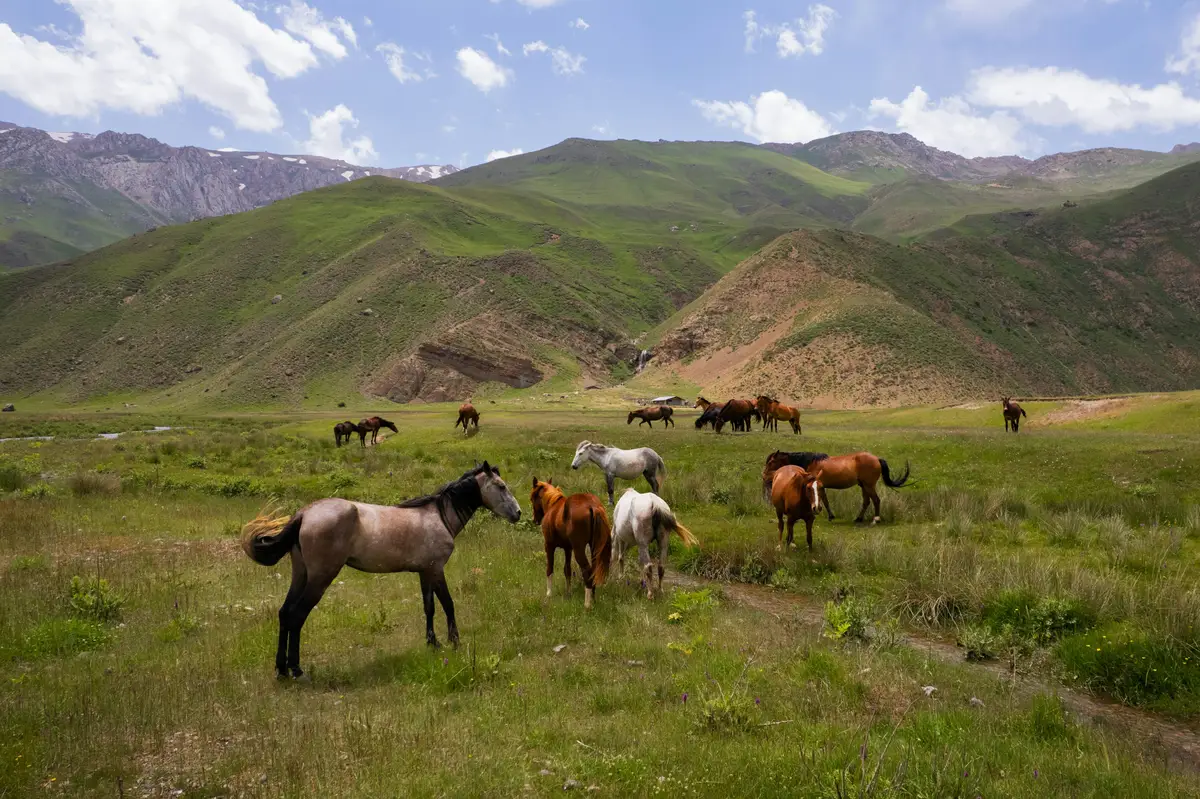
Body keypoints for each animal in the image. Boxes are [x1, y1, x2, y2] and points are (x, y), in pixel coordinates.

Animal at [240, 462, 521, 678]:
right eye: (501, 486)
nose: (518, 513)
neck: (439, 516)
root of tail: (304, 514)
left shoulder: (424, 572)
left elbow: (429, 607)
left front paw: (433, 642)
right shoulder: (436, 570)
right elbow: (448, 604)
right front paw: (454, 641)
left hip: (301, 574)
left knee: (285, 613)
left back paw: (281, 669)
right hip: (320, 578)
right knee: (297, 615)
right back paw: (296, 669)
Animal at [530, 478, 612, 609]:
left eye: (532, 498)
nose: (535, 520)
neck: (554, 507)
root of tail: (592, 506)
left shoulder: (549, 546)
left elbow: (549, 569)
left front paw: (549, 594)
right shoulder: (568, 548)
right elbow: (567, 570)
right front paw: (568, 593)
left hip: (579, 550)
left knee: (587, 571)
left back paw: (587, 604)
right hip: (594, 549)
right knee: (593, 570)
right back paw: (593, 600)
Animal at [763, 450, 912, 525]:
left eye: (771, 462)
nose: (764, 475)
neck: (812, 462)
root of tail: (877, 459)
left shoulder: (818, 486)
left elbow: (823, 501)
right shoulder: (820, 487)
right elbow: (825, 501)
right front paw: (830, 516)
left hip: (869, 486)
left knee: (876, 500)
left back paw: (876, 520)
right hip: (864, 486)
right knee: (866, 501)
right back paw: (858, 519)